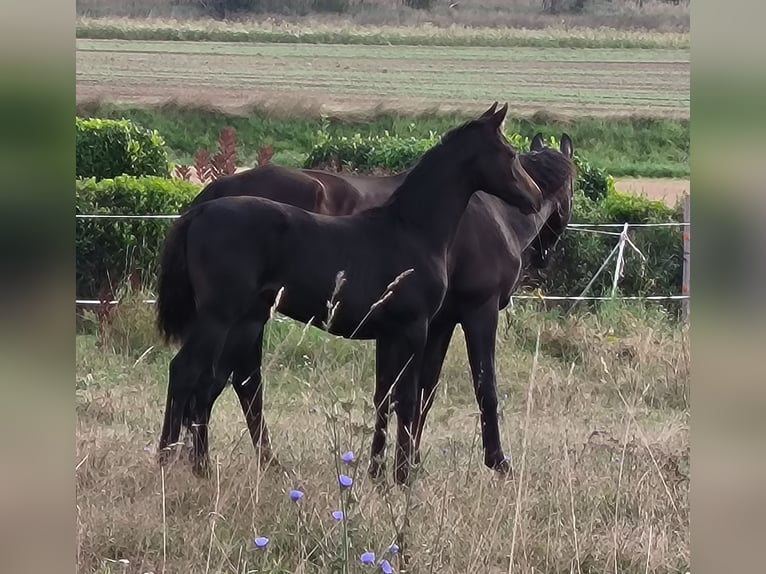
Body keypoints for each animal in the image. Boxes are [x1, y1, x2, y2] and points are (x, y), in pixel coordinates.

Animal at [156, 104, 544, 486]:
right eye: (510, 154)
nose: (535, 197)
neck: (411, 231)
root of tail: (199, 211)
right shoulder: (415, 328)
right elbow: (408, 399)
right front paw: (404, 477)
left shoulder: (391, 333)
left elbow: (386, 397)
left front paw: (378, 474)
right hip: (219, 318)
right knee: (187, 373)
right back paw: (170, 461)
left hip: (244, 320)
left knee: (214, 383)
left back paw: (203, 466)